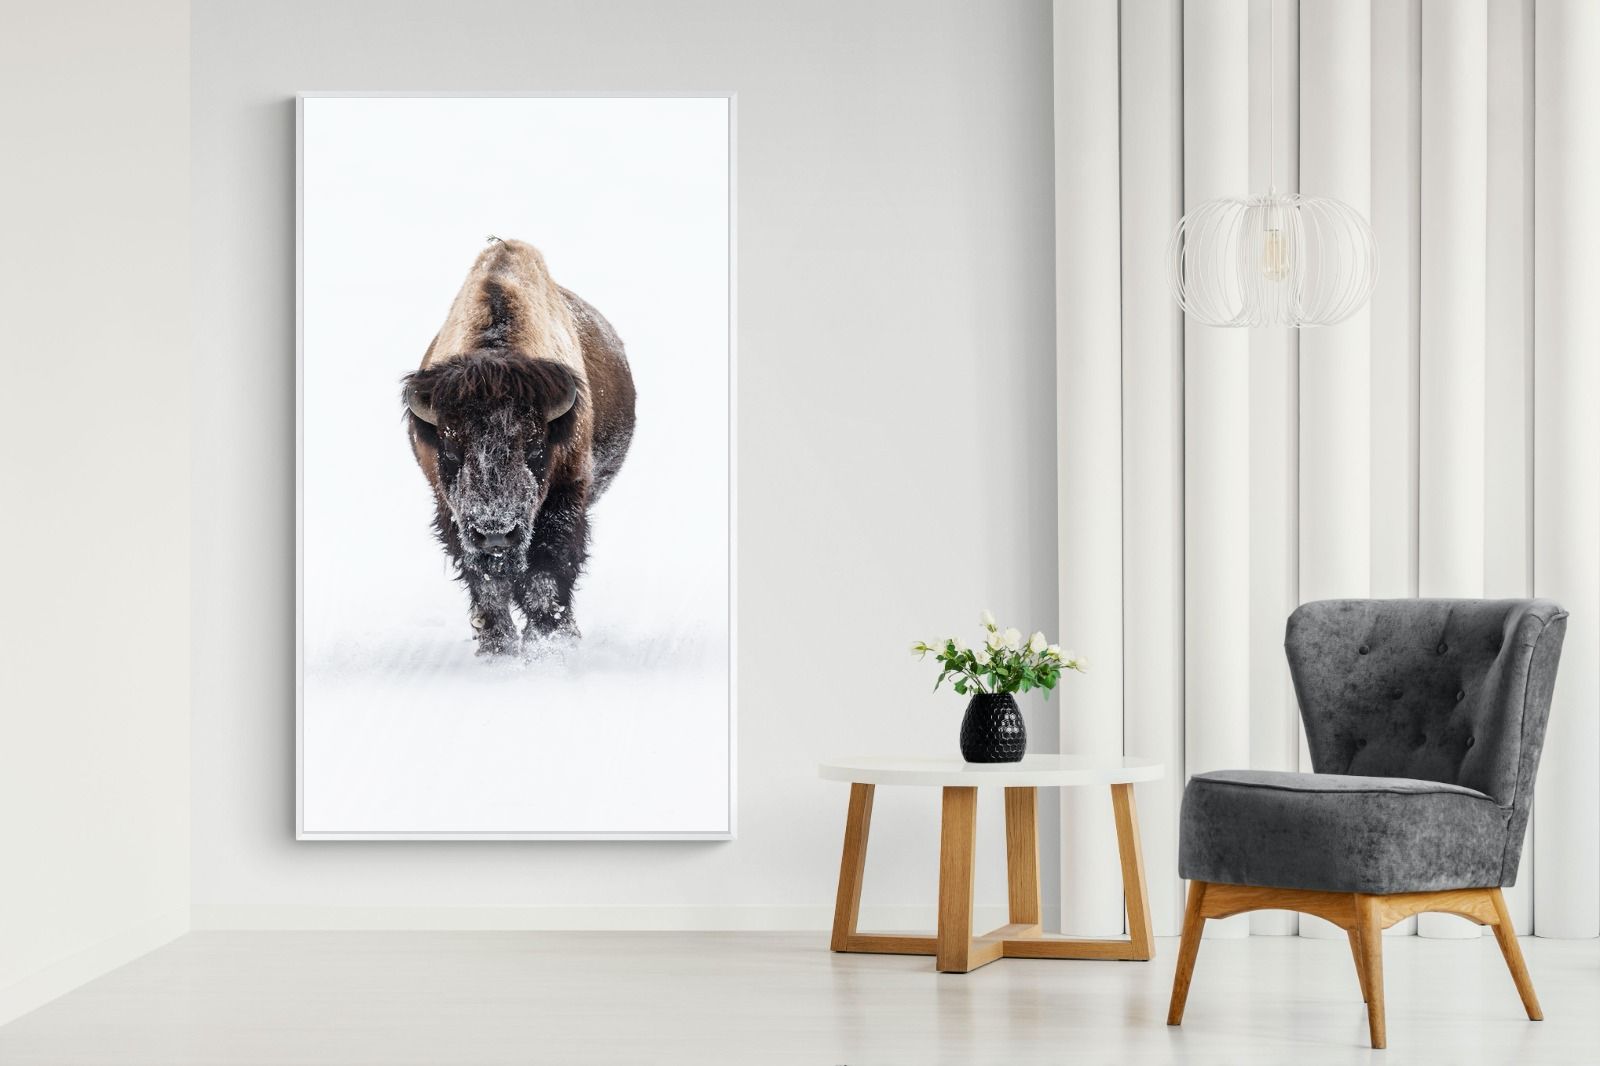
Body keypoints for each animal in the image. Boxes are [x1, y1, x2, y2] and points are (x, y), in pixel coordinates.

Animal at [402, 238, 636, 655]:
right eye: (450, 448)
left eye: (535, 447)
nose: (496, 533)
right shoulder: (452, 512)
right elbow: (486, 581)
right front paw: (497, 646)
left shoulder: (565, 496)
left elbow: (547, 571)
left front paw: (550, 641)